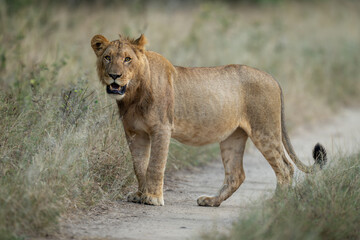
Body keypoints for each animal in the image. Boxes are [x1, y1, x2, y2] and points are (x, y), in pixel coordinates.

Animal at [90, 33, 326, 206]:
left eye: (127, 59)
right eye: (108, 57)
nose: (114, 76)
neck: (133, 95)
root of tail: (273, 78)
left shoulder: (161, 129)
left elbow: (155, 165)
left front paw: (153, 198)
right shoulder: (134, 132)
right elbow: (139, 165)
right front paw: (139, 195)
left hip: (265, 131)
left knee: (285, 168)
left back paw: (275, 203)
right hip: (233, 137)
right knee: (236, 174)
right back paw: (211, 201)